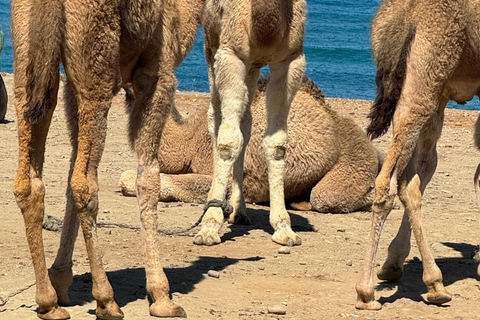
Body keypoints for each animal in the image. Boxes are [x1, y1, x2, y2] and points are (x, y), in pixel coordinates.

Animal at [11, 0, 202, 318]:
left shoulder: (71, 87)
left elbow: (71, 165)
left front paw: (61, 279)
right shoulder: (157, 73)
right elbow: (148, 175)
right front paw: (162, 296)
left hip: (30, 62)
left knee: (31, 183)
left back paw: (48, 303)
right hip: (95, 61)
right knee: (85, 184)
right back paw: (106, 299)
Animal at [189, 0, 306, 248]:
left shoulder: (291, 60)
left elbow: (277, 143)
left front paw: (284, 229)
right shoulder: (230, 55)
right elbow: (228, 142)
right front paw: (209, 227)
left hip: (253, 67)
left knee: (246, 121)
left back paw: (239, 211)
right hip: (211, 48)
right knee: (216, 116)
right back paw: (213, 203)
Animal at [354, 0, 480, 312]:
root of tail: (405, 15)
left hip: (424, 83)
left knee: (412, 176)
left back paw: (404, 273)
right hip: (429, 68)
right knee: (390, 182)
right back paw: (370, 292)